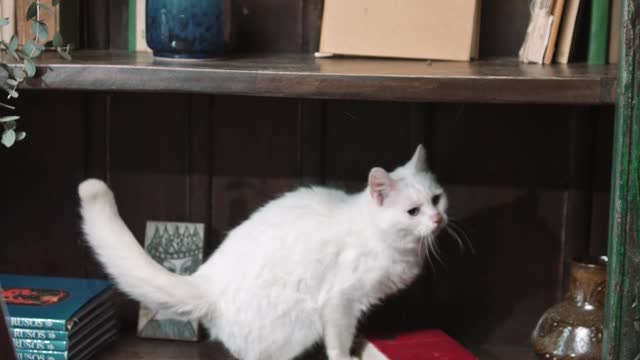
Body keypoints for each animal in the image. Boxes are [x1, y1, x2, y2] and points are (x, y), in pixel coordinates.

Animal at [80, 145, 448, 360]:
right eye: (413, 211)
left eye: (437, 199)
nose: (438, 219)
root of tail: (206, 280)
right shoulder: (339, 303)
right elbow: (339, 342)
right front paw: (348, 358)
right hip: (301, 323)